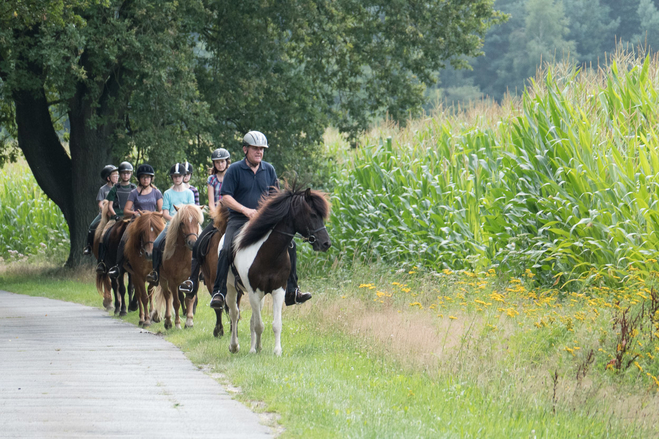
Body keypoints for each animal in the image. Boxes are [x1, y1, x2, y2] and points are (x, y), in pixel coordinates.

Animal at [226, 187, 332, 356]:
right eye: (313, 214)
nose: (326, 243)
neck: (268, 255)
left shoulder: (278, 290)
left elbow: (275, 324)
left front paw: (276, 351)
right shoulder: (254, 291)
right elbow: (259, 324)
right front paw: (258, 349)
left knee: (251, 318)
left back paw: (254, 347)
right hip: (231, 288)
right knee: (234, 314)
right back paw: (235, 346)